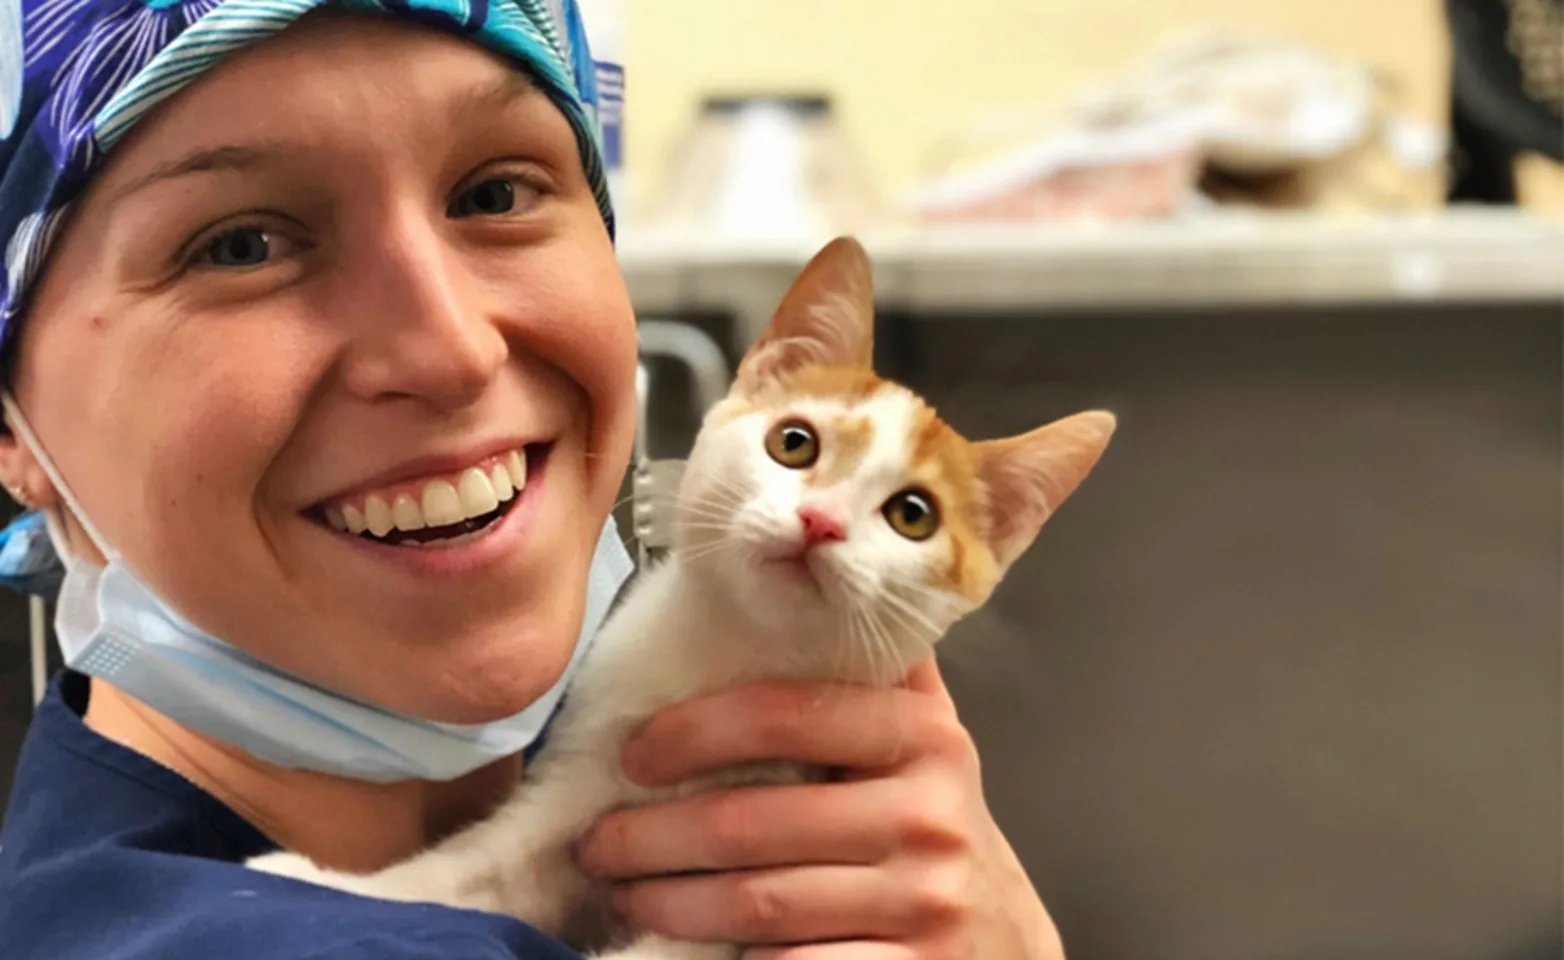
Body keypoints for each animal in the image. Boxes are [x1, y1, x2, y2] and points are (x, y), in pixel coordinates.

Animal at [250, 234, 1119, 960]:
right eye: (793, 443)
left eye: (913, 516)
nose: (820, 522)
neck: (729, 657)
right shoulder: (586, 780)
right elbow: (473, 872)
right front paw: (317, 880)